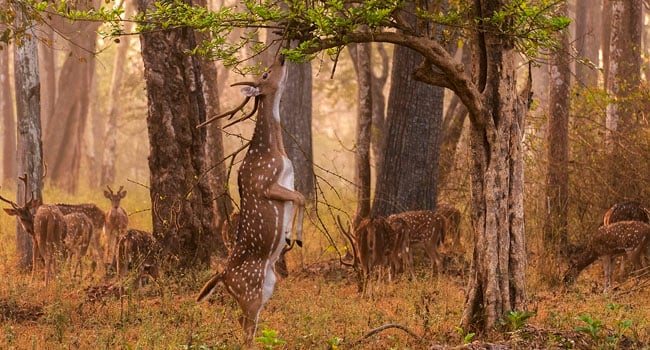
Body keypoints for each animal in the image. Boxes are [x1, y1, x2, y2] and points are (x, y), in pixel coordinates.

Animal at [194, 55, 306, 344]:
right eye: (265, 74)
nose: (282, 56)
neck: (275, 151)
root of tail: (222, 276)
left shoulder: (287, 182)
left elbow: (299, 198)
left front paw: (289, 236)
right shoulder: (265, 184)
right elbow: (300, 198)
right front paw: (294, 237)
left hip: (267, 287)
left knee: (244, 323)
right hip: (250, 291)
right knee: (245, 326)